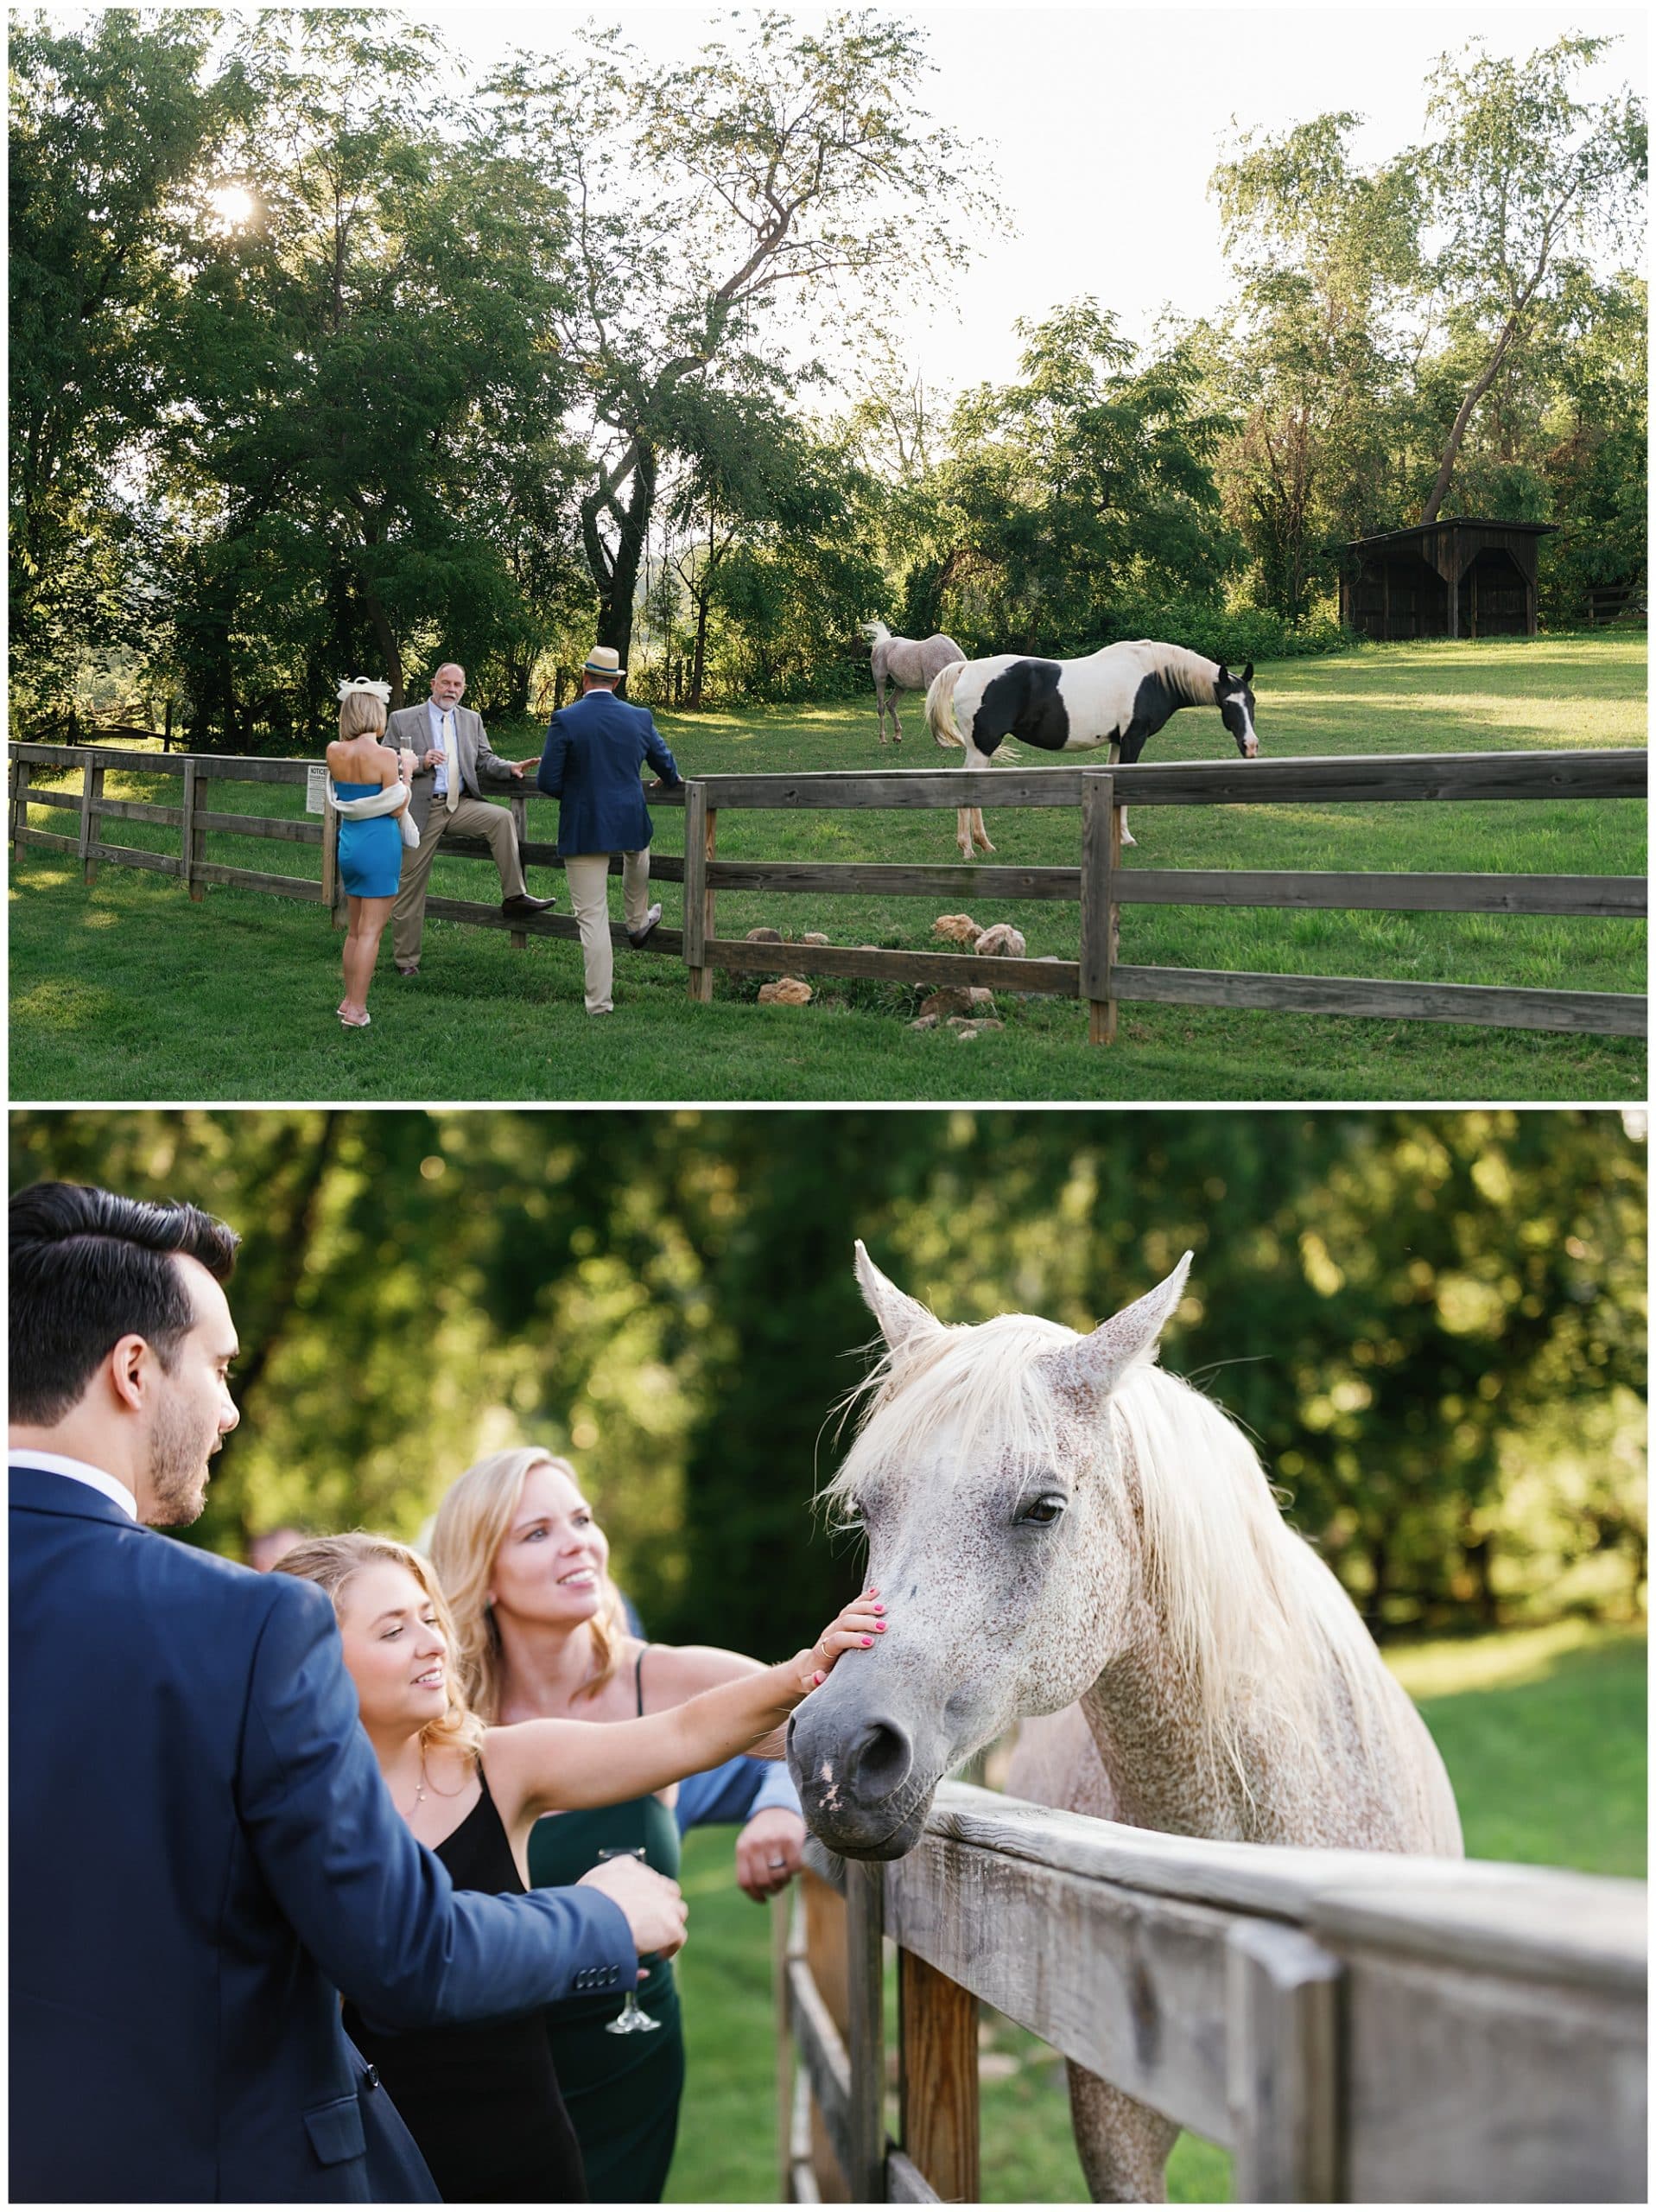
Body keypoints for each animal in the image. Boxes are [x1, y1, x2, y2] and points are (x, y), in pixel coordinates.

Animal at [858, 619, 963, 747]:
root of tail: (881, 644)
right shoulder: (932, 686)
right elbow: (934, 712)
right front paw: (941, 741)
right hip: (880, 681)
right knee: (881, 707)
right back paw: (883, 739)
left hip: (901, 686)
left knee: (891, 704)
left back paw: (897, 737)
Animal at [923, 641, 1255, 862]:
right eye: (1228, 704)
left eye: (1252, 701)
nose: (1250, 746)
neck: (1151, 675)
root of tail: (967, 667)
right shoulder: (1134, 738)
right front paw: (1126, 837)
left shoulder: (1118, 741)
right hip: (982, 747)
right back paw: (968, 848)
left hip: (982, 750)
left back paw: (983, 844)